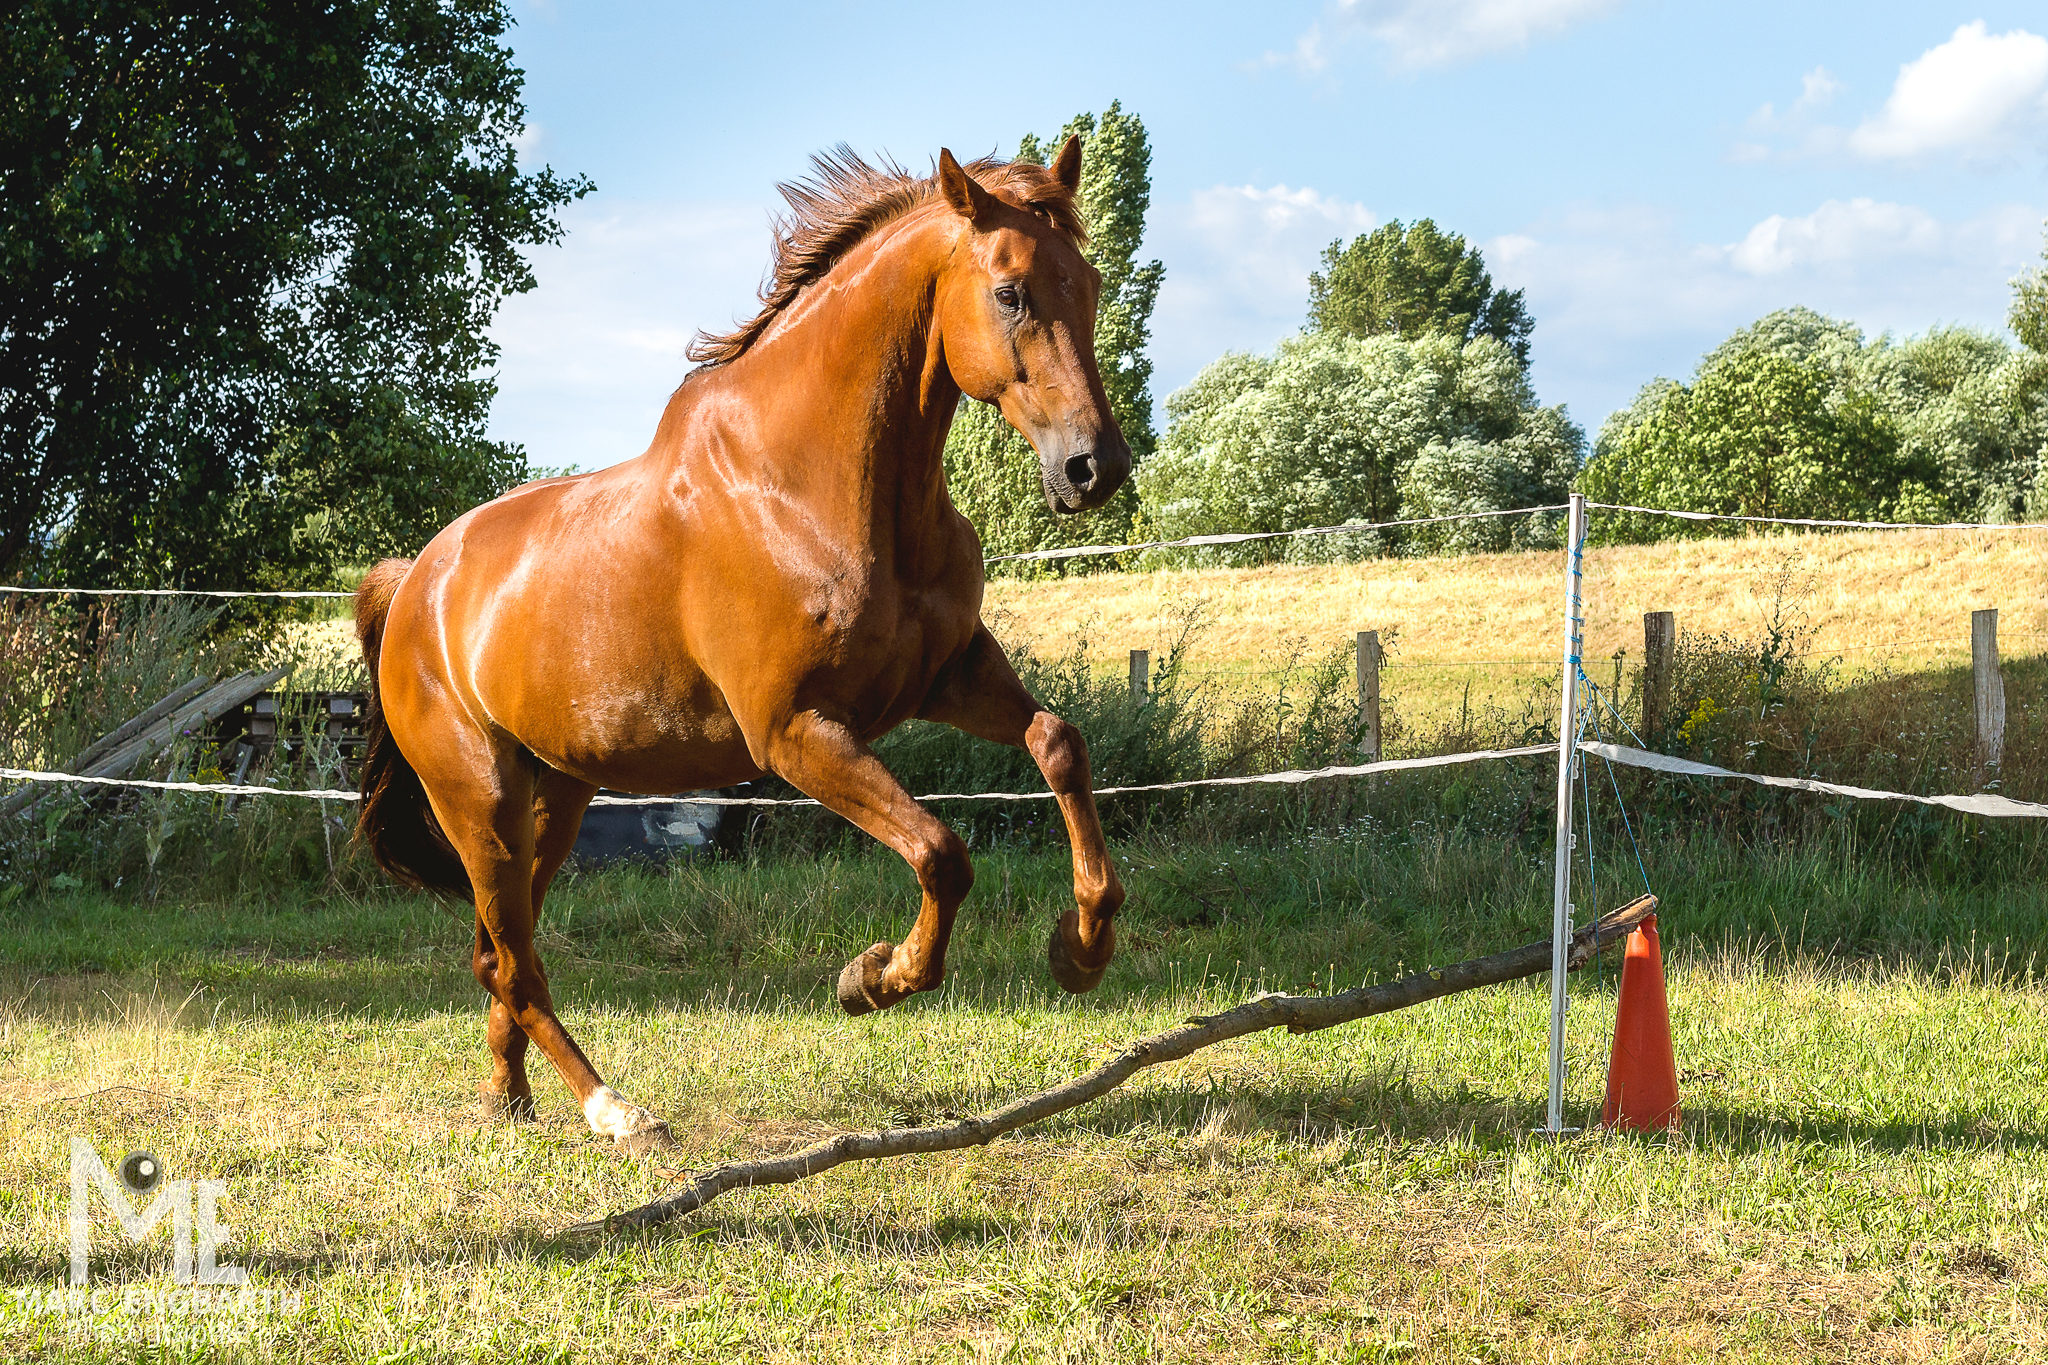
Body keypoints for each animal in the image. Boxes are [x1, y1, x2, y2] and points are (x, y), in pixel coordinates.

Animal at [352, 138, 1132, 1152]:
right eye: (1010, 292)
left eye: (1091, 282)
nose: (1094, 467)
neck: (808, 484)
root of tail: (414, 583)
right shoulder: (795, 732)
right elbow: (941, 852)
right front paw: (872, 977)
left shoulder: (948, 675)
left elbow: (1058, 743)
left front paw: (1081, 948)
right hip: (478, 800)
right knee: (515, 964)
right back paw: (617, 1110)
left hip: (551, 800)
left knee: (499, 955)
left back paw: (508, 1098)